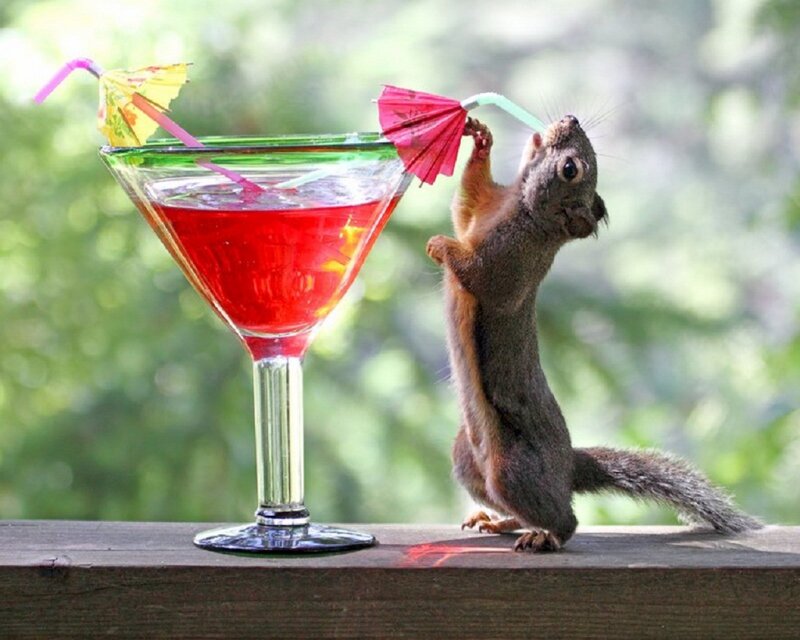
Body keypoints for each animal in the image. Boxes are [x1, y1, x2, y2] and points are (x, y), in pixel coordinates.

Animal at [426, 116, 763, 552]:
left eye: (570, 169)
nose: (570, 119)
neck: (520, 209)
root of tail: (568, 466)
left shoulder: (508, 265)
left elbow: (477, 272)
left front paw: (440, 245)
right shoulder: (480, 211)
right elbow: (465, 203)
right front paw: (481, 139)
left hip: (512, 470)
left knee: (565, 518)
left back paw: (544, 536)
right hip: (467, 459)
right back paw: (499, 521)